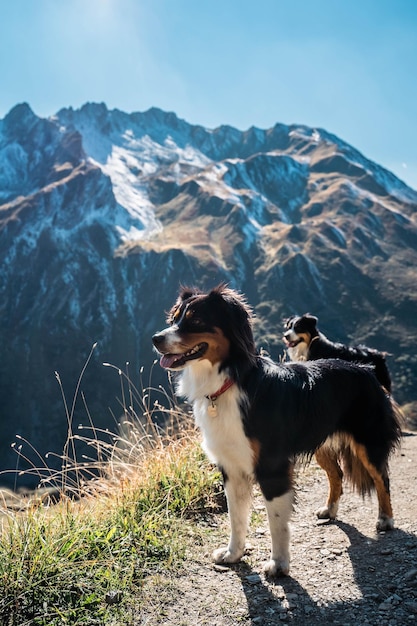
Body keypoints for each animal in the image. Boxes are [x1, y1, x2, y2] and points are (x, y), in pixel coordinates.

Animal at [152, 286, 400, 572]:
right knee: (336, 474)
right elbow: (236, 517)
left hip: (367, 441)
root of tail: (366, 368)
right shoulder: (231, 466)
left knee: (382, 478)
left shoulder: (272, 466)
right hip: (322, 443)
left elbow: (276, 521)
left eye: (196, 321)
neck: (230, 381)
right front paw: (233, 554)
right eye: (175, 319)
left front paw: (279, 565)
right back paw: (330, 510)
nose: (155, 339)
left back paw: (385, 519)